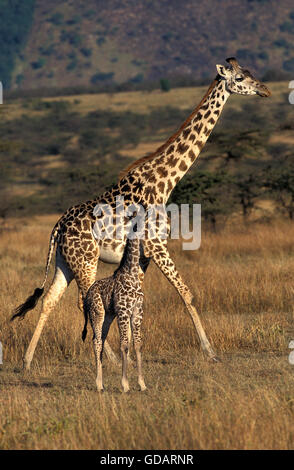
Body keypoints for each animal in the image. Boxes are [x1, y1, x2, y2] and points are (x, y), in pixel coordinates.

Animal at [12, 57, 272, 370]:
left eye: (251, 72)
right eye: (240, 78)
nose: (266, 89)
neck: (164, 183)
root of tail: (58, 226)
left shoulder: (144, 256)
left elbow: (138, 298)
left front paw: (137, 351)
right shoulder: (157, 246)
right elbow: (186, 293)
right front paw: (210, 352)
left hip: (66, 261)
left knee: (50, 299)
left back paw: (27, 360)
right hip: (85, 260)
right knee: (85, 300)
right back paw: (108, 357)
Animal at [82, 239, 146, 392]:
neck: (132, 274)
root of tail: (87, 295)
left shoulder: (137, 312)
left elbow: (138, 344)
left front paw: (142, 384)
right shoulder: (123, 312)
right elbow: (124, 345)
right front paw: (125, 384)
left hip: (108, 317)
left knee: (100, 340)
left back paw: (102, 383)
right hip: (97, 313)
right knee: (96, 341)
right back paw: (99, 385)